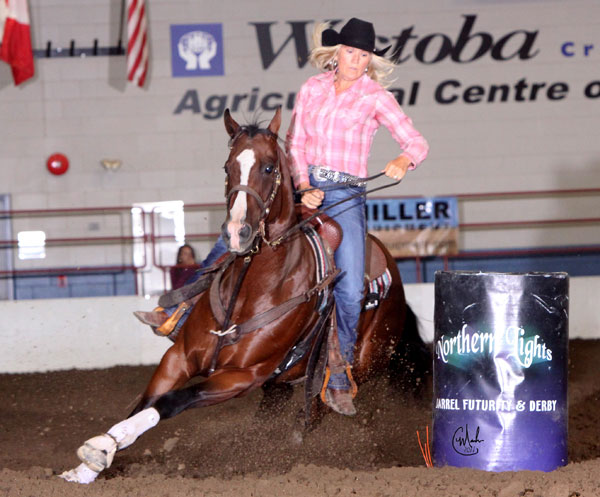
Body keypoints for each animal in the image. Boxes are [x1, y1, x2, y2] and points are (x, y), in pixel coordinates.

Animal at [59, 108, 426, 484]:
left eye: (268, 167)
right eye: (227, 167)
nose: (237, 232)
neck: (252, 289)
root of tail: (394, 279)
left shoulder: (242, 376)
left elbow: (170, 402)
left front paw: (102, 448)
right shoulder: (179, 357)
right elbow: (146, 402)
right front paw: (91, 462)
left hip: (356, 368)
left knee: (314, 413)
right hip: (278, 382)